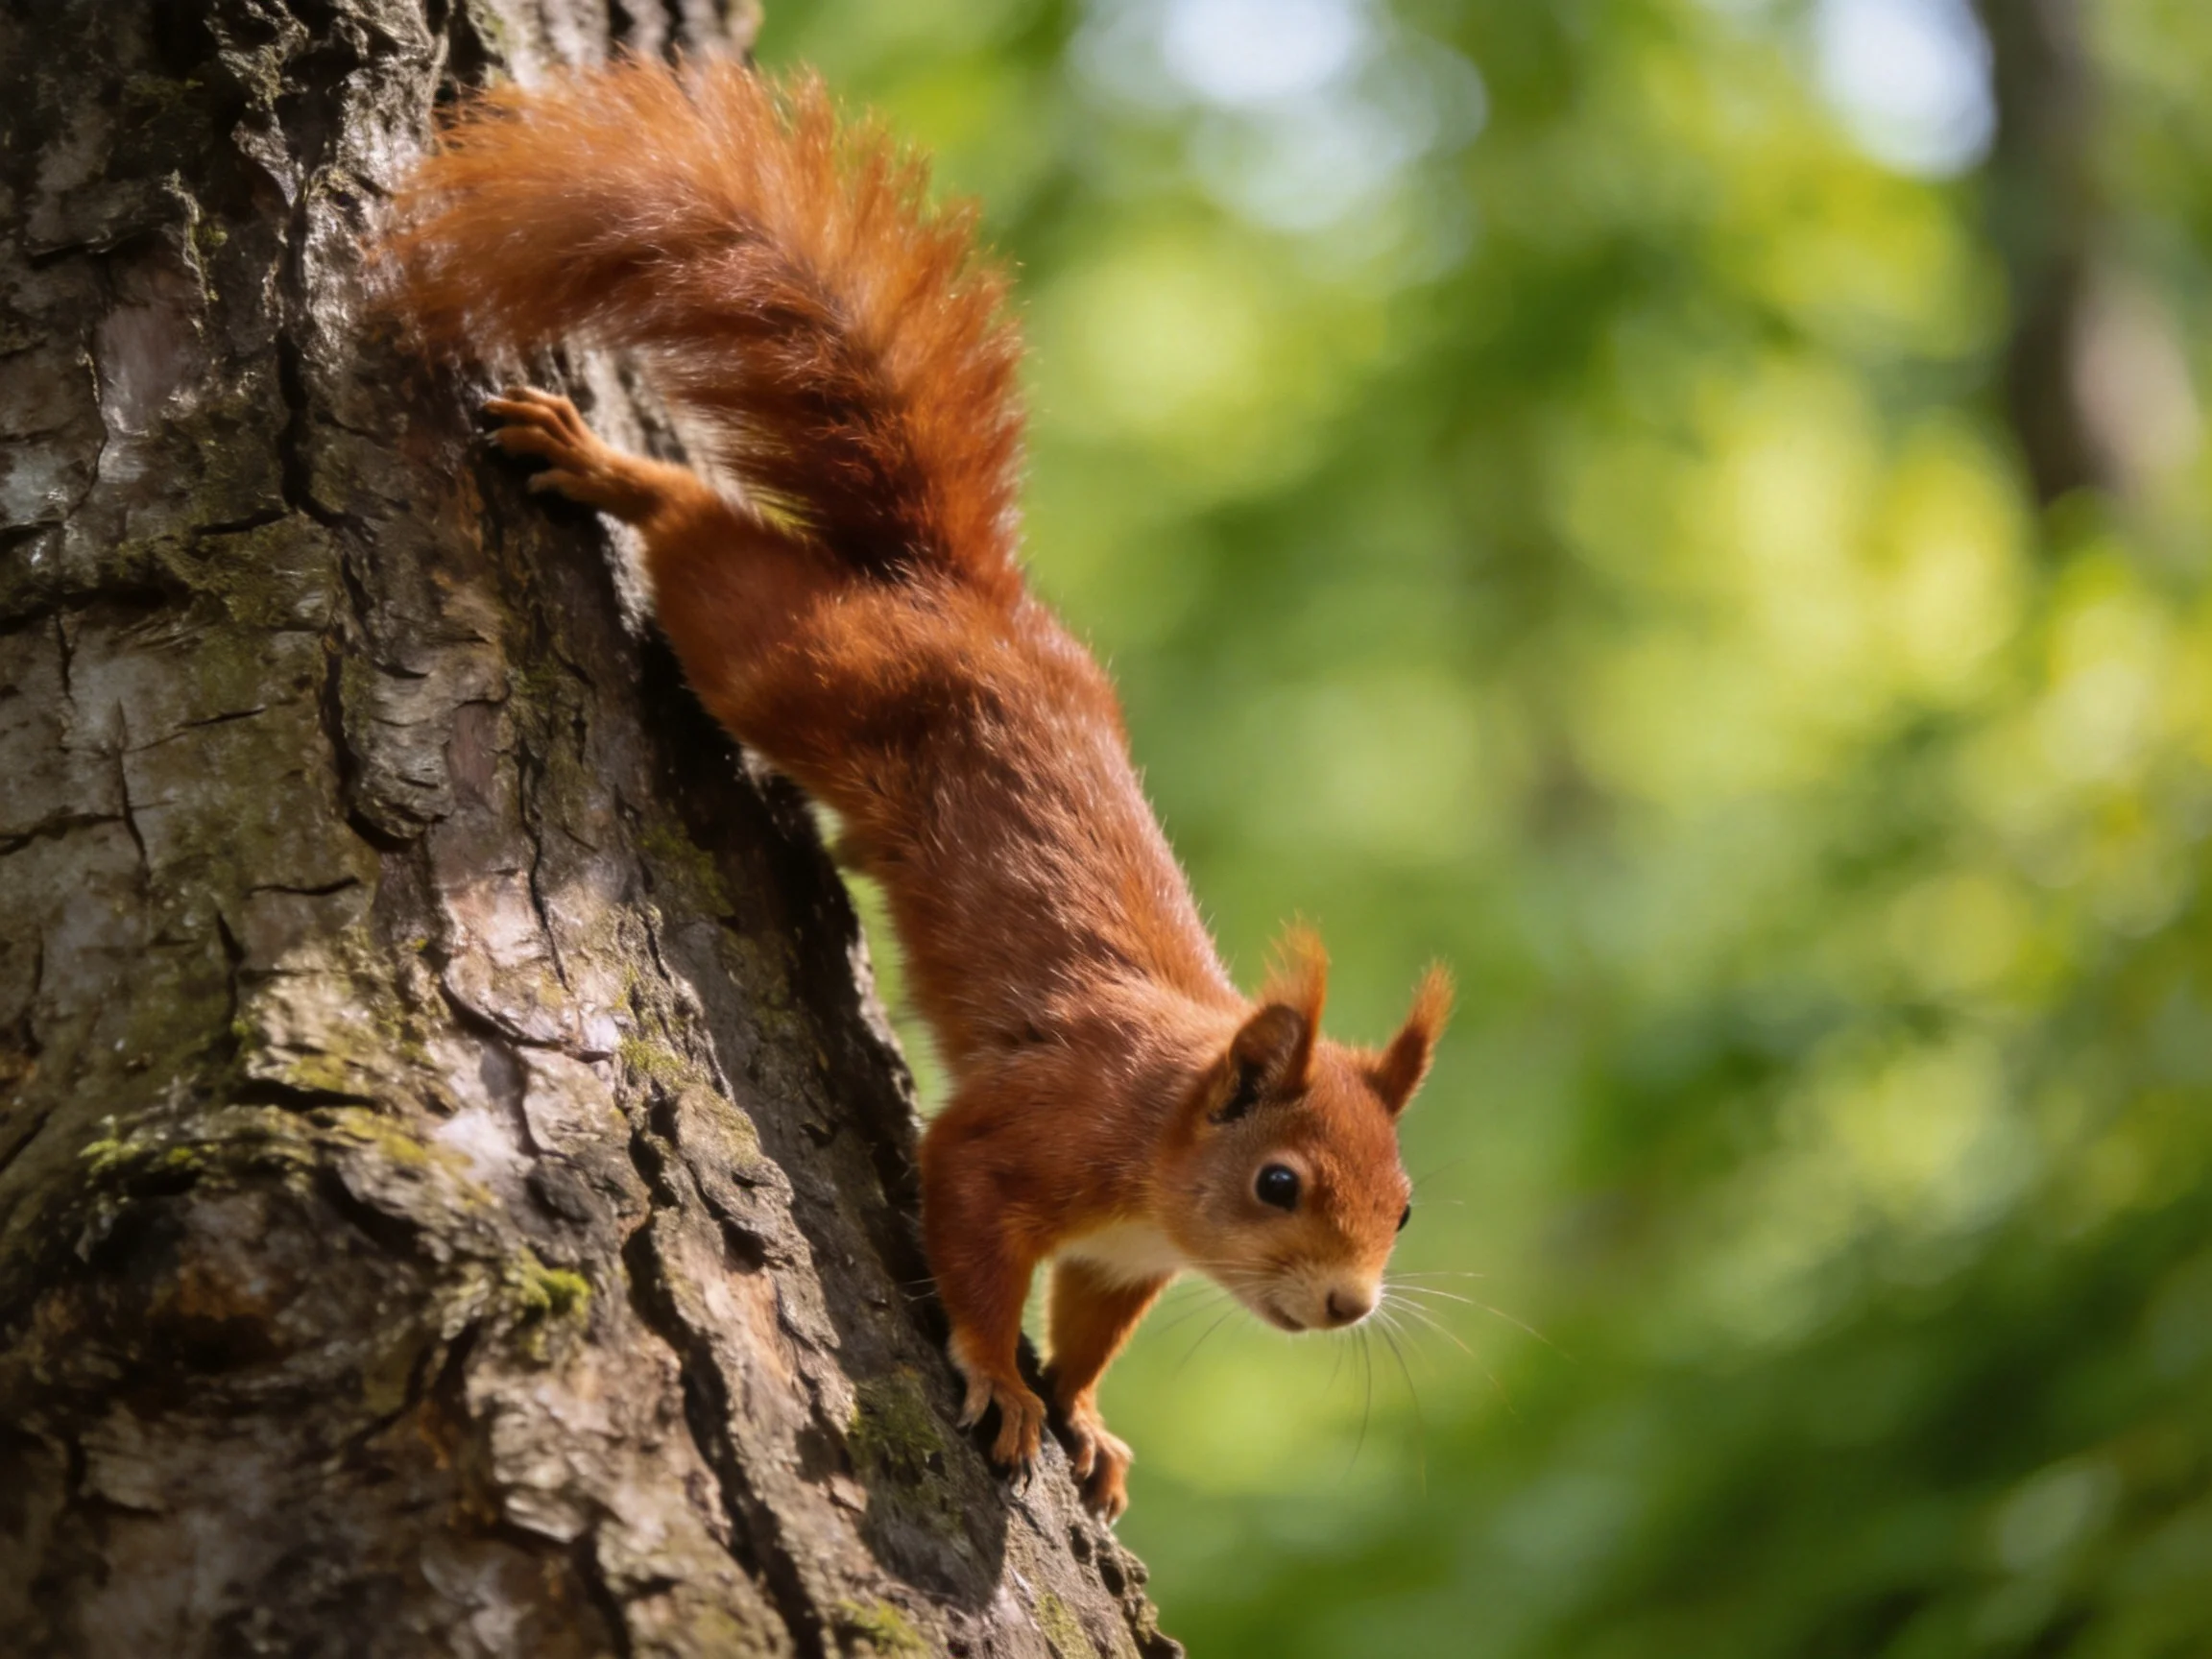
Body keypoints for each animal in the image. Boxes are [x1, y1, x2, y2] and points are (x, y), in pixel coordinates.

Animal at [385, 56, 1451, 1522]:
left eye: (1404, 1205)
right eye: (1279, 1182)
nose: (1350, 1305)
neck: (1163, 1137)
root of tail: (966, 595)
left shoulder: (1121, 1257)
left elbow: (1093, 1329)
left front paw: (1088, 1416)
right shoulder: (1021, 1140)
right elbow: (970, 1238)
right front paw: (1002, 1383)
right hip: (805, 668)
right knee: (702, 544)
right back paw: (606, 467)